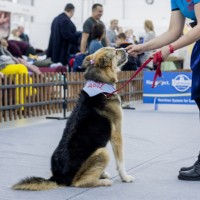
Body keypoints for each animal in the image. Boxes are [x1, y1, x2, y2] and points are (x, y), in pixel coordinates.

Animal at [12, 47, 134, 191]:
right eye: (115, 52)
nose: (126, 49)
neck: (100, 82)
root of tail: (58, 178)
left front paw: (103, 173)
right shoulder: (116, 133)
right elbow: (121, 162)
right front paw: (125, 177)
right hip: (102, 151)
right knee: (79, 182)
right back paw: (103, 182)